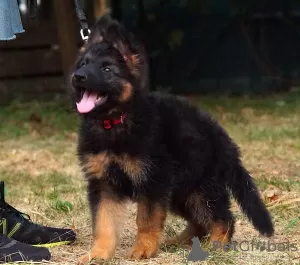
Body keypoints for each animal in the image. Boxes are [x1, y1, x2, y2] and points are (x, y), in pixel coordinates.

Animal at [70, 15, 274, 262]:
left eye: (107, 69)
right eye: (83, 64)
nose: (78, 76)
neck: (115, 121)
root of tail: (223, 140)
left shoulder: (152, 181)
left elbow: (146, 220)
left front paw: (143, 249)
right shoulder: (103, 184)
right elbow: (103, 223)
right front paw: (98, 254)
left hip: (200, 188)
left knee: (223, 218)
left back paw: (216, 245)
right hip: (182, 191)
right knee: (200, 221)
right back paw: (179, 242)